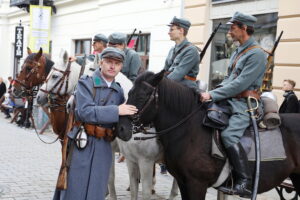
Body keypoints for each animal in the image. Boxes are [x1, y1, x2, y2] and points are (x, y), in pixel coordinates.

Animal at [116, 70, 300, 200]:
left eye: (142, 95)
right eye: (129, 92)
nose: (121, 128)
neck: (189, 130)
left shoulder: (196, 184)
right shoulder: (183, 182)